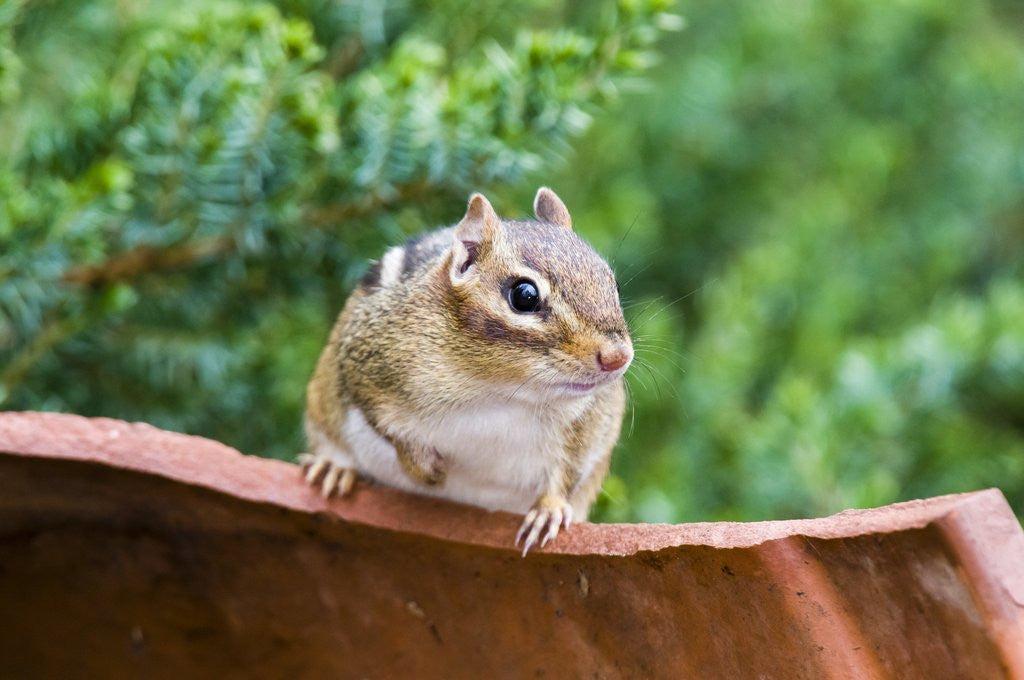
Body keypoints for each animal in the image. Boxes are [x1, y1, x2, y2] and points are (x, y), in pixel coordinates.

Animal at [300, 188, 633, 554]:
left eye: (612, 283)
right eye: (524, 295)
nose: (618, 357)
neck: (500, 390)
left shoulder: (592, 423)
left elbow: (569, 472)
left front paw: (550, 510)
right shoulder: (365, 364)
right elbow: (383, 422)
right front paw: (427, 469)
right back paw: (334, 467)